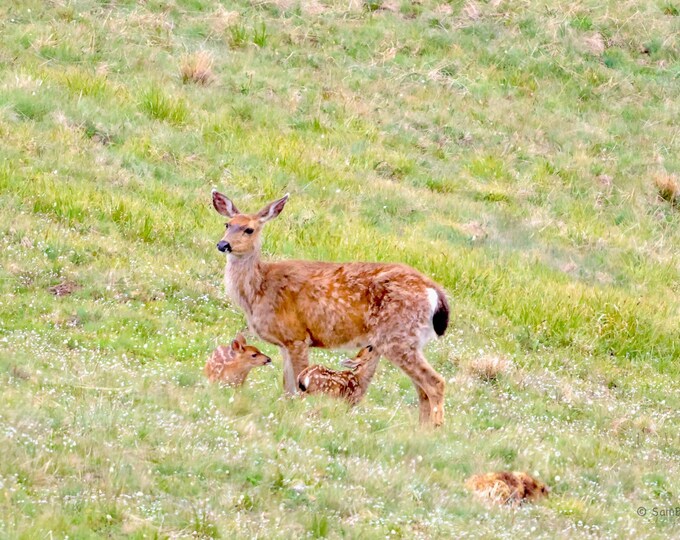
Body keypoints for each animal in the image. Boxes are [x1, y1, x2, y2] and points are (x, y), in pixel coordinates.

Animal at [211, 190, 450, 426]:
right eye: (227, 224)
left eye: (249, 229)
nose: (223, 245)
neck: (259, 290)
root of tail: (434, 292)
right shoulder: (284, 343)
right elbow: (287, 389)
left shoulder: (297, 337)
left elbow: (298, 385)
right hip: (411, 341)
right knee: (422, 390)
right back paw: (420, 429)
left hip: (397, 336)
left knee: (435, 383)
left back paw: (434, 430)